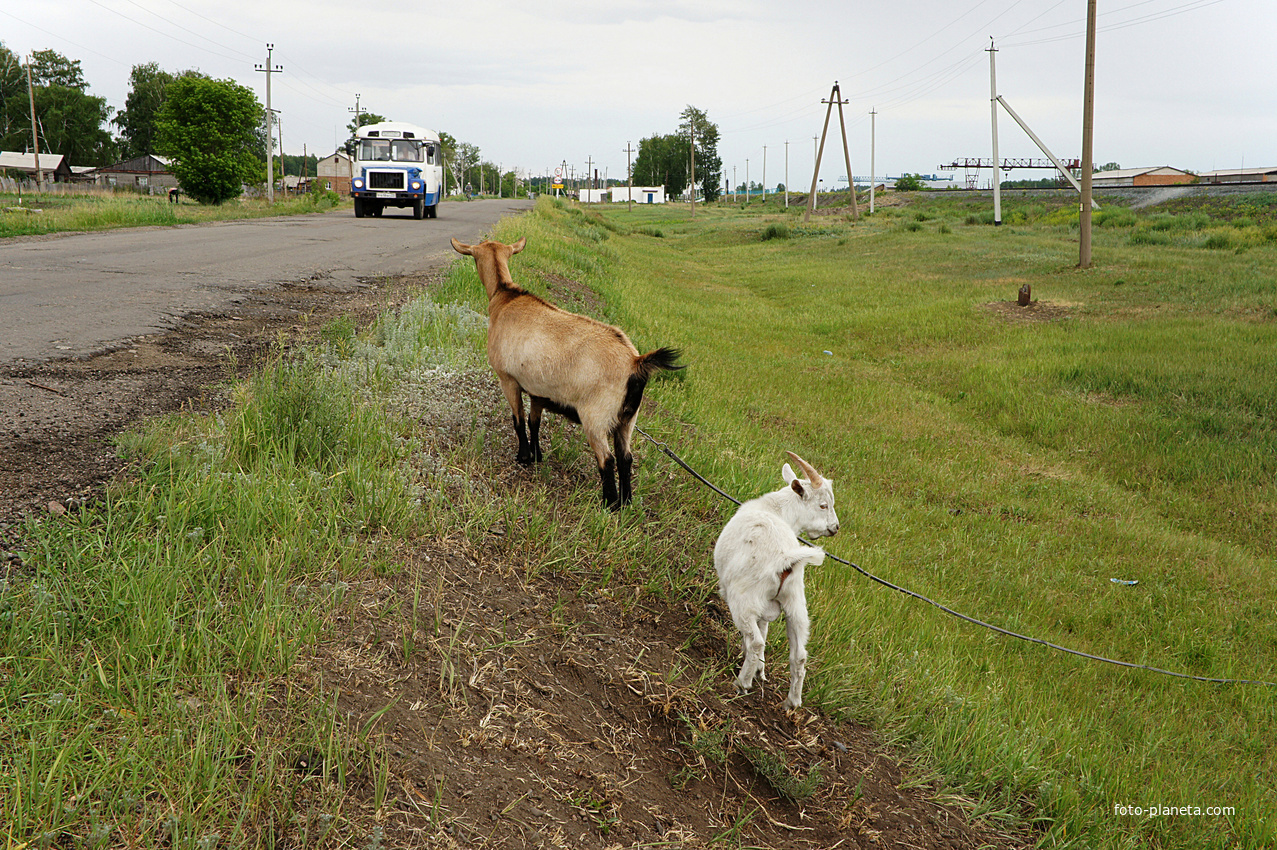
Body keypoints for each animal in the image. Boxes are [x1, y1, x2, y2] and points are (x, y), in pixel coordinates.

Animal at [454, 234, 684, 505]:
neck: (505, 296)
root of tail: (635, 361)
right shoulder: (538, 390)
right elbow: (534, 421)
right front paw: (537, 455)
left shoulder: (508, 379)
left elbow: (518, 420)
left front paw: (523, 457)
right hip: (627, 419)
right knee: (626, 458)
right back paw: (625, 502)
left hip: (595, 416)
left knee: (607, 460)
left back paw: (609, 504)